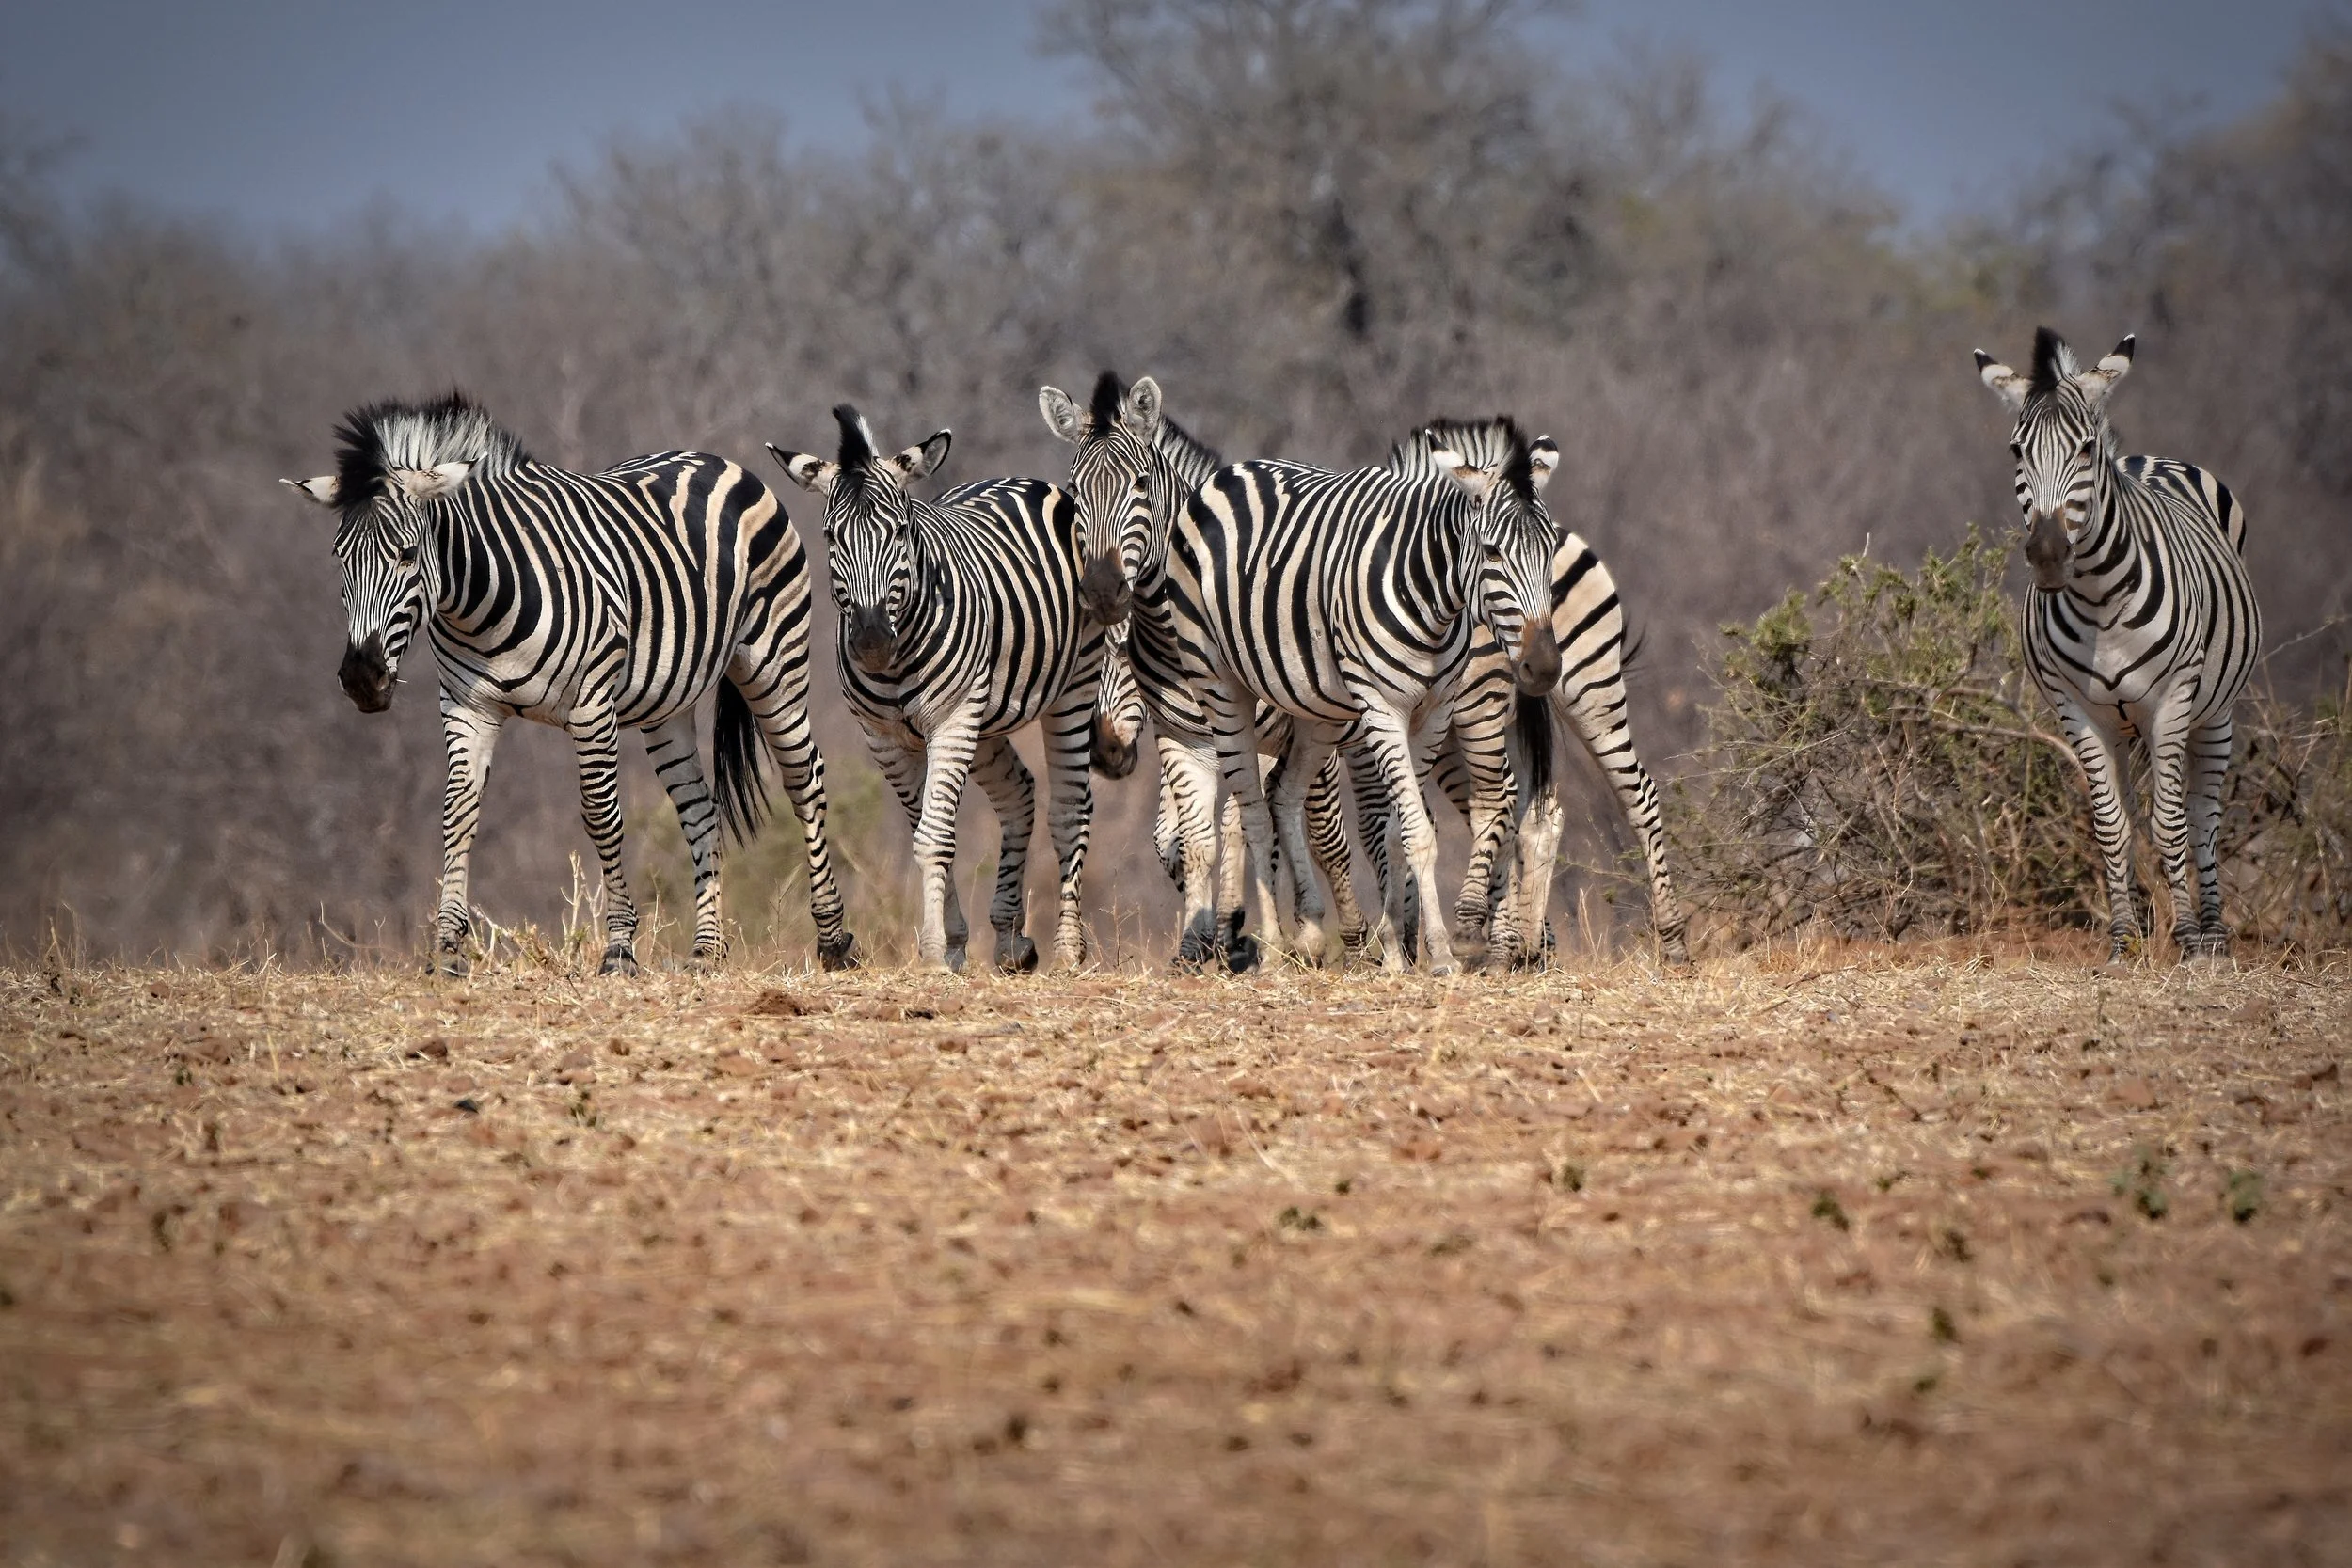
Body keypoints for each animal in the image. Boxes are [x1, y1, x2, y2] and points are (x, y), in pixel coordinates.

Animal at [282, 392, 854, 977]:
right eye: (339, 558)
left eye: (407, 554)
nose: (362, 679)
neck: (479, 602)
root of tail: (717, 460)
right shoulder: (465, 707)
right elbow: (457, 813)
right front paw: (447, 949)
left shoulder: (591, 705)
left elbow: (601, 816)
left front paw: (619, 950)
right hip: (667, 703)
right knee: (699, 805)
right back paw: (707, 950)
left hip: (775, 663)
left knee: (805, 779)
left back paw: (833, 940)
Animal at [767, 406, 1104, 972]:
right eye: (831, 537)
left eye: (902, 531)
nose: (872, 640)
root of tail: (1025, 480)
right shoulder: (884, 737)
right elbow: (921, 828)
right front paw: (952, 944)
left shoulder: (949, 719)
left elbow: (936, 837)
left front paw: (931, 951)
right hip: (986, 720)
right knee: (1018, 793)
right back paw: (1010, 939)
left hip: (1071, 688)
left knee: (1070, 813)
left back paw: (1068, 949)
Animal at [1164, 422, 1564, 974]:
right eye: (1491, 552)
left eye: (1552, 550)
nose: (1543, 668)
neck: (1431, 595)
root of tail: (1235, 470)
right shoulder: (1380, 707)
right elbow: (1416, 831)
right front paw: (1439, 955)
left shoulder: (1434, 711)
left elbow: (1399, 832)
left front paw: (1396, 947)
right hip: (1220, 685)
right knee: (1251, 813)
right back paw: (1273, 951)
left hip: (1318, 710)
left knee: (1284, 794)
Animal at [1974, 328, 2260, 962]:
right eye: (2015, 452)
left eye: (2084, 450)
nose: (2048, 556)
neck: (2101, 602)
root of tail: (2147, 458)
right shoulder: (2076, 710)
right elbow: (2111, 825)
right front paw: (2124, 944)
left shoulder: (2172, 701)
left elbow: (2171, 824)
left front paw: (2186, 941)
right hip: (2122, 724)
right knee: (2134, 811)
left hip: (2215, 712)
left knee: (2203, 817)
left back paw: (2213, 938)